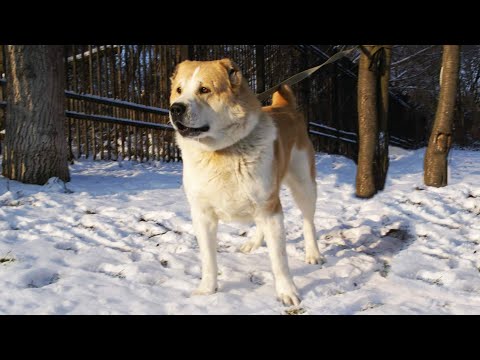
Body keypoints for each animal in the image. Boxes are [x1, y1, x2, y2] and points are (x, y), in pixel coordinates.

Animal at [169, 59, 322, 306]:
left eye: (204, 89)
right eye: (178, 90)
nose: (176, 108)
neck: (221, 152)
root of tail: (286, 107)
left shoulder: (271, 211)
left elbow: (279, 259)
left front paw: (287, 292)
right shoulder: (202, 215)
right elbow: (208, 258)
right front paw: (207, 290)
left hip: (304, 185)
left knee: (308, 221)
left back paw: (313, 253)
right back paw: (253, 243)